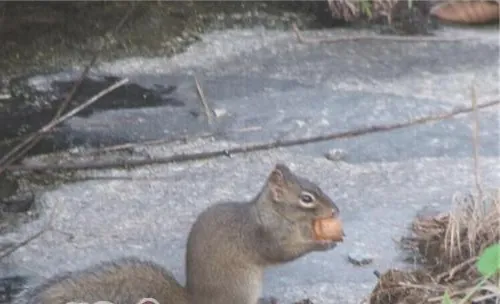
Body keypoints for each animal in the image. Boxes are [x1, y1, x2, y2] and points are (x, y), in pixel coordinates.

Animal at [16, 164, 344, 304]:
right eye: (306, 198)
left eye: (316, 185)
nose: (335, 210)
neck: (271, 213)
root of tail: (195, 301)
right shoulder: (264, 238)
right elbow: (283, 253)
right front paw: (322, 243)